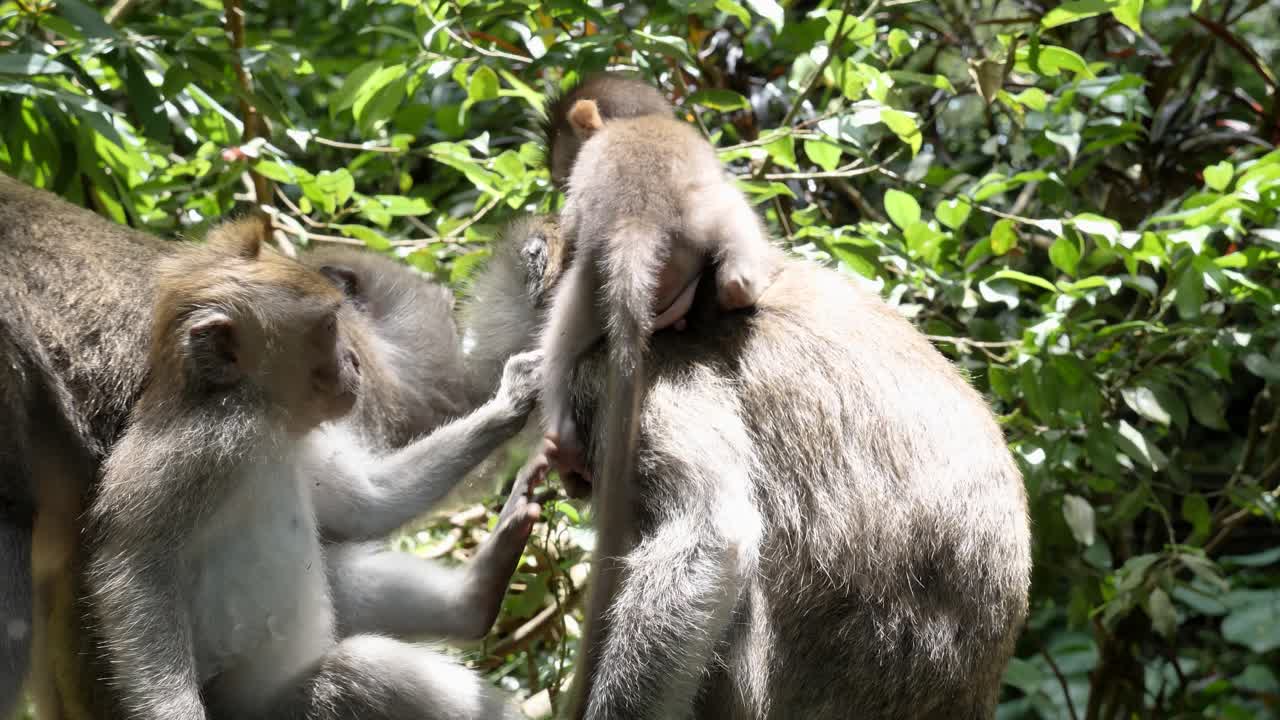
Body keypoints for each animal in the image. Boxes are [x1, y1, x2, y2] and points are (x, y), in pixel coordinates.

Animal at [0, 174, 530, 719]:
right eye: (328, 327)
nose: (354, 364)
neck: (266, 419)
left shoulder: (306, 441)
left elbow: (368, 504)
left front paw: (511, 399)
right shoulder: (200, 445)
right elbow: (136, 567)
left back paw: (475, 598)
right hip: (281, 708)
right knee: (363, 670)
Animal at [537, 76, 779, 482]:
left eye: (563, 175)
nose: (558, 185)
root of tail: (637, 222)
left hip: (594, 276)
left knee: (560, 343)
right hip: (701, 216)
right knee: (736, 256)